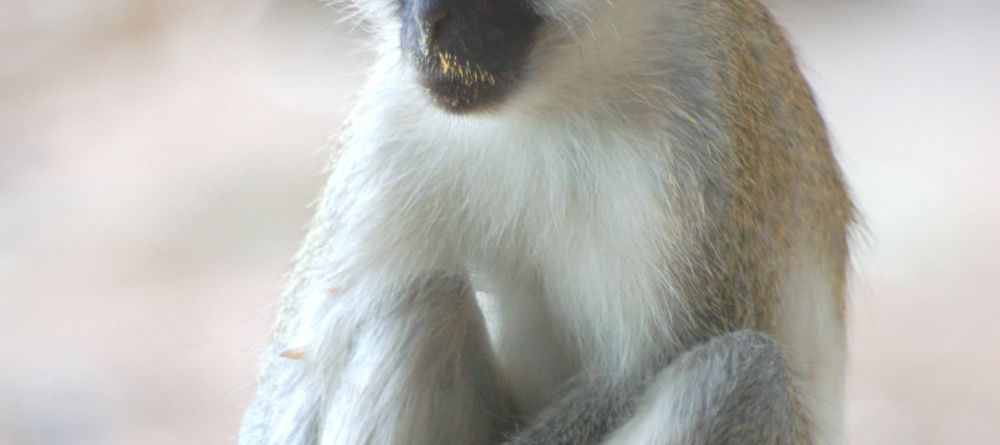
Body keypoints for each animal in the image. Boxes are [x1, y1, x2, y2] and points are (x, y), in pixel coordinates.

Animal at [236, 0, 852, 442]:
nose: (430, 22)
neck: (560, 89)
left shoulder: (702, 148)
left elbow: (636, 373)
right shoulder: (394, 109)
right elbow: (299, 369)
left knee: (741, 374)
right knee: (412, 304)